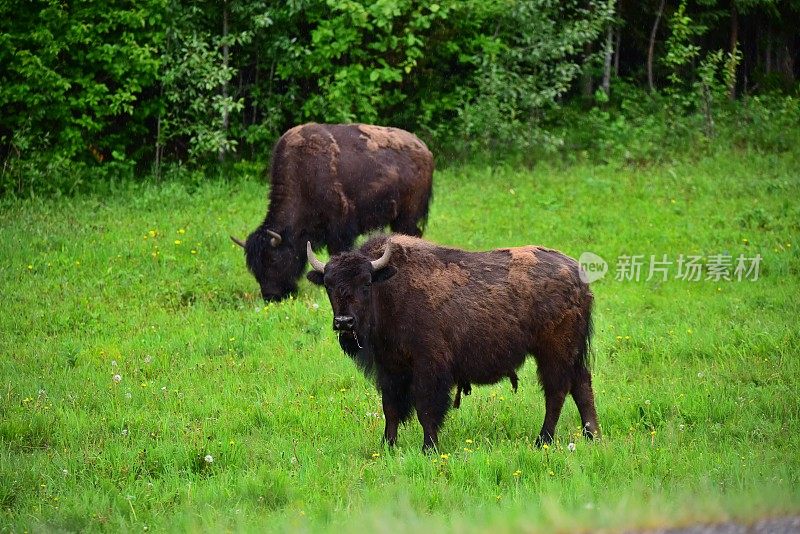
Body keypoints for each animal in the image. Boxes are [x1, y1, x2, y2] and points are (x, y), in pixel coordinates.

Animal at [231, 123, 432, 304]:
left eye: (273, 260)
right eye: (254, 267)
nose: (271, 297)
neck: (304, 174)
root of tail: (424, 149)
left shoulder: (339, 230)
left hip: (407, 216)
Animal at [306, 237, 600, 450]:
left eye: (366, 283)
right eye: (329, 285)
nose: (344, 322)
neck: (389, 289)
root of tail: (578, 275)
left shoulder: (428, 367)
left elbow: (426, 408)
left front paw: (429, 448)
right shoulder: (390, 369)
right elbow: (391, 408)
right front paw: (387, 447)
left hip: (554, 352)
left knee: (556, 392)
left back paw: (543, 441)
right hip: (571, 353)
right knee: (581, 385)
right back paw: (592, 437)